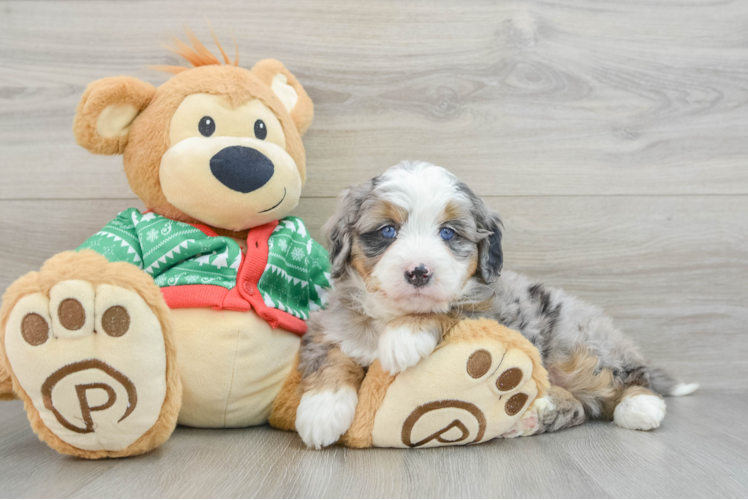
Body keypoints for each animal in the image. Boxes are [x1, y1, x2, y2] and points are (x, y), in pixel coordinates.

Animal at [296, 161, 700, 450]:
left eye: (448, 233)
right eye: (387, 231)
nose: (418, 272)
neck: (393, 312)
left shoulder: (493, 311)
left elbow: (450, 312)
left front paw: (404, 337)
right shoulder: (330, 324)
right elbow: (330, 357)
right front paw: (321, 412)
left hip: (579, 345)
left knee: (622, 378)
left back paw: (640, 406)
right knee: (581, 407)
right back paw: (537, 413)